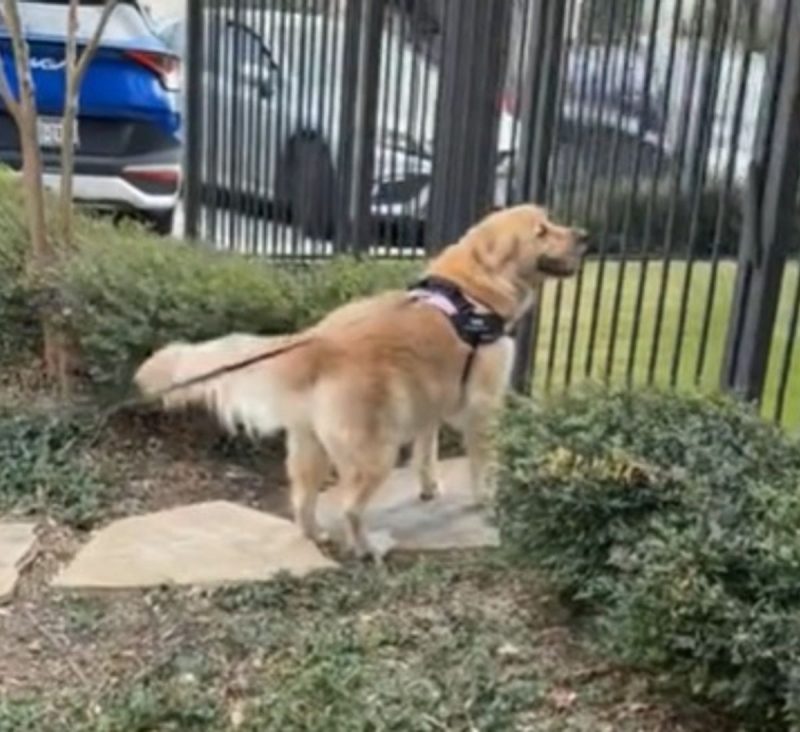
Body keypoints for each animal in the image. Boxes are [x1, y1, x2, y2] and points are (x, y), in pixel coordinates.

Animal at [134, 203, 588, 556]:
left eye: (551, 221)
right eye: (541, 231)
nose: (584, 236)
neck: (474, 289)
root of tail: (319, 340)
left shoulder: (431, 400)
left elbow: (427, 451)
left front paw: (429, 486)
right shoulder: (482, 407)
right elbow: (481, 466)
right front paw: (486, 501)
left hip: (310, 449)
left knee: (303, 502)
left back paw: (318, 534)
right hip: (375, 454)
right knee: (351, 507)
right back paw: (368, 548)